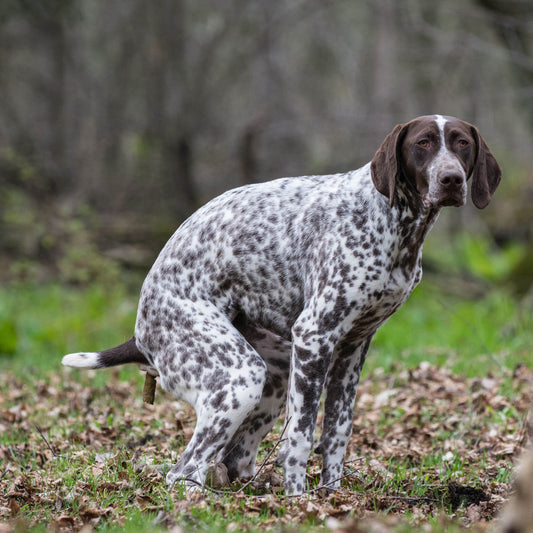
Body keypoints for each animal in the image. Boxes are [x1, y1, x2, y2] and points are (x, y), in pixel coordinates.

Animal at [64, 115, 500, 494]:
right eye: (422, 144)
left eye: (462, 143)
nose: (451, 179)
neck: (392, 222)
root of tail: (140, 330)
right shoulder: (314, 337)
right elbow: (301, 437)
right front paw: (298, 500)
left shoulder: (352, 350)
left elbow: (336, 435)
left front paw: (331, 496)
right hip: (238, 377)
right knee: (183, 471)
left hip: (274, 375)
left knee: (233, 459)